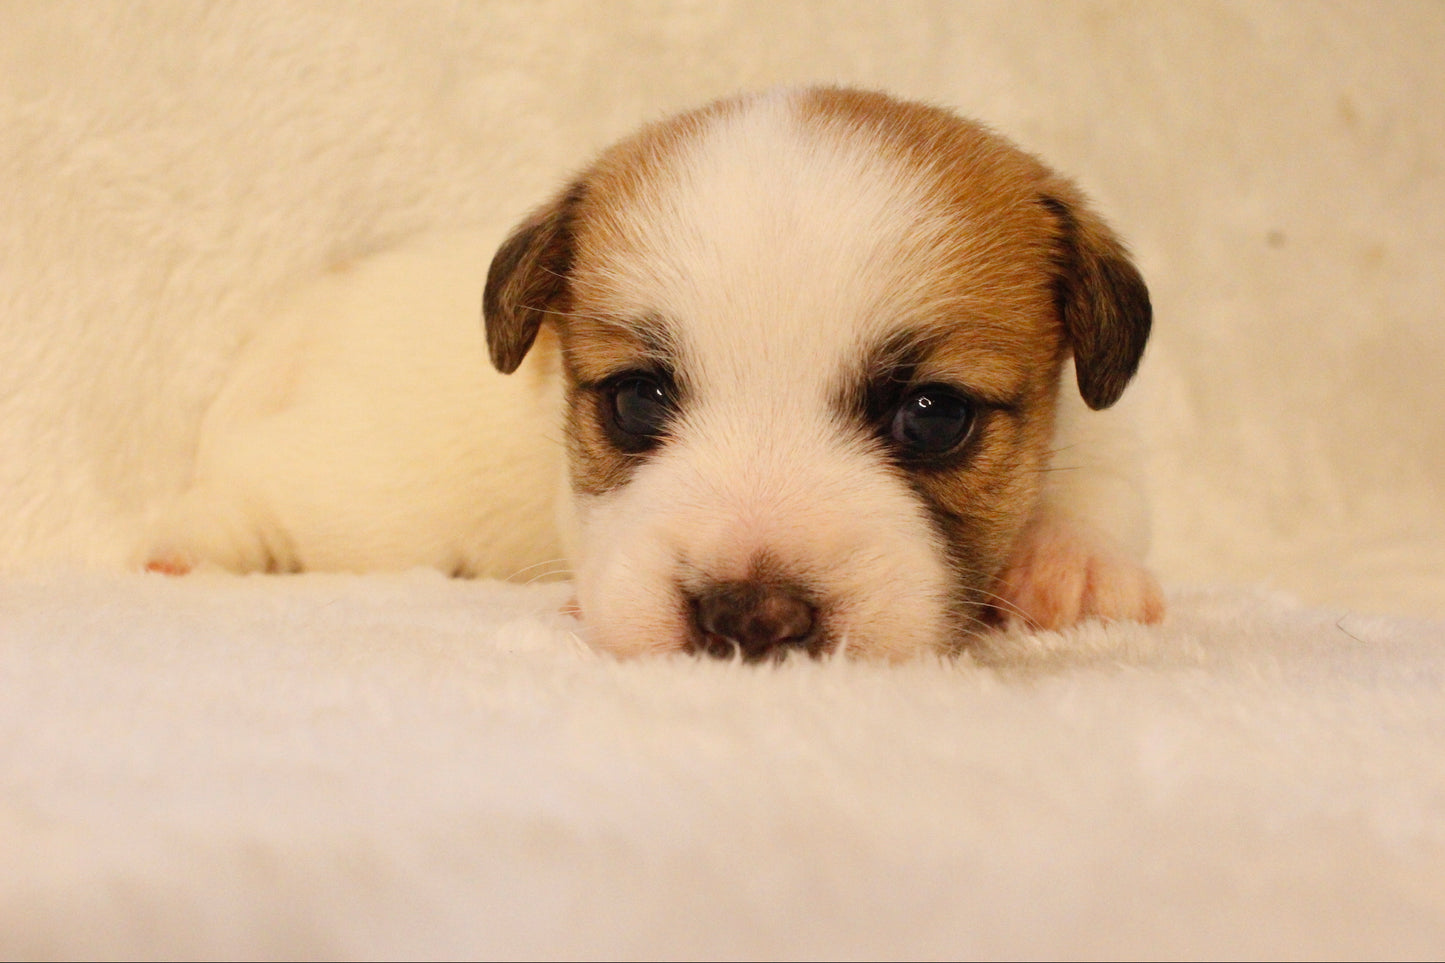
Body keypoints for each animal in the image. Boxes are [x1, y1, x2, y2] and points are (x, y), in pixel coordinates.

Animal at [146, 86, 1161, 656]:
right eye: (638, 400)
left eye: (933, 414)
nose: (750, 616)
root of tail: (311, 313)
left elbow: (1096, 485)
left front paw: (1072, 564)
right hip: (355, 501)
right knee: (254, 493)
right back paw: (185, 546)